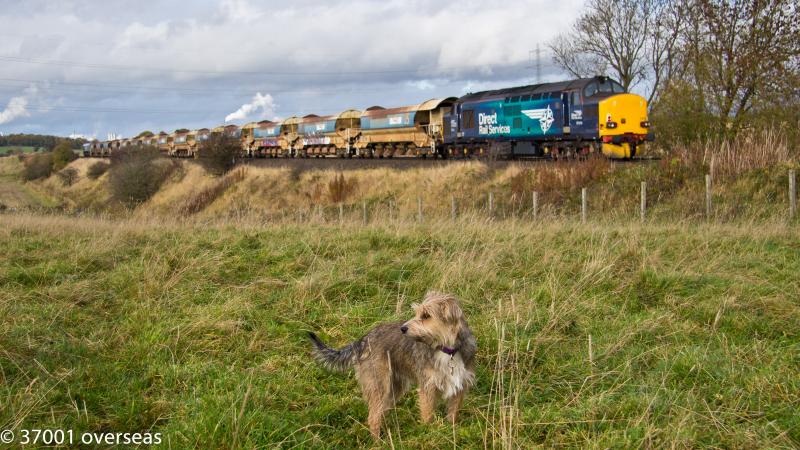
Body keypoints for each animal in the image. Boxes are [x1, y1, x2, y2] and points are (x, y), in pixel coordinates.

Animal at [310, 292, 478, 440]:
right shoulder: (428, 387)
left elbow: (453, 414)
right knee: (373, 417)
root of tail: (363, 340)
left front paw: (451, 431)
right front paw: (428, 433)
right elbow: (428, 415)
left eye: (426, 315)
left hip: (393, 388)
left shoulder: (460, 385)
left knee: (380, 412)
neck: (448, 351)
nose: (403, 328)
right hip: (379, 385)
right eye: (417, 313)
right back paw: (378, 442)